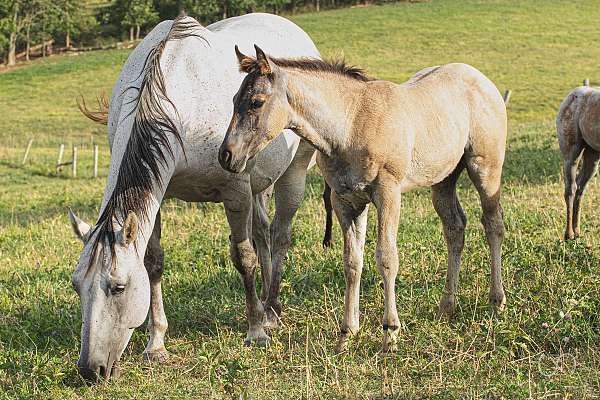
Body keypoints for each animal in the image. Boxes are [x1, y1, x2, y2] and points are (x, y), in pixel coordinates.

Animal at [69, 12, 318, 382]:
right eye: (76, 286)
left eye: (118, 287)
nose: (90, 369)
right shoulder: (158, 199)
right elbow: (153, 262)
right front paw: (156, 344)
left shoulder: (235, 192)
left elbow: (243, 258)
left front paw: (255, 330)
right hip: (261, 185)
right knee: (263, 235)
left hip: (293, 174)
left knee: (280, 236)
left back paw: (271, 311)